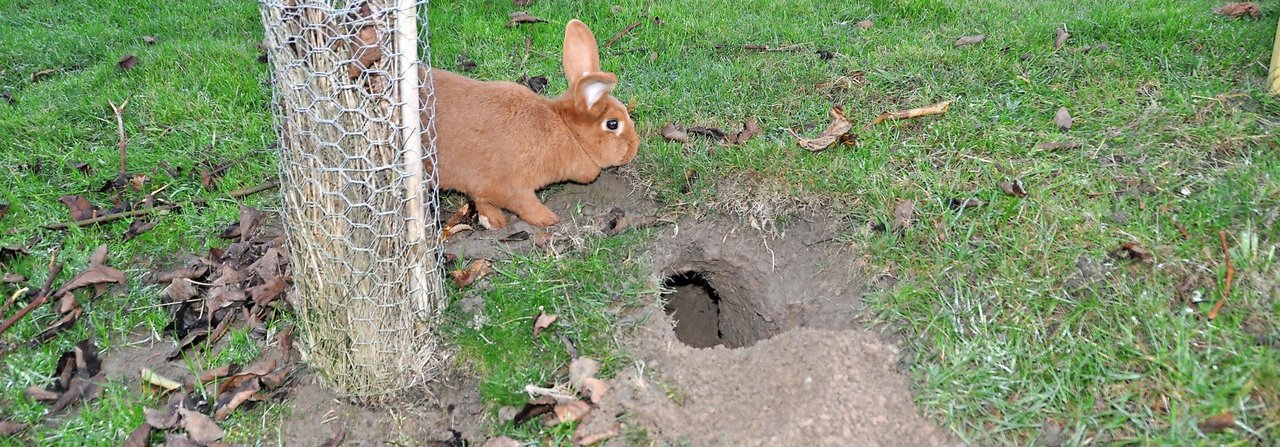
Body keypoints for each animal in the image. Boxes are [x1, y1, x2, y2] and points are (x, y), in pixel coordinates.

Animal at [423, 19, 640, 230]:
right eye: (613, 124)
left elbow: (480, 199)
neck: (567, 131)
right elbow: (521, 203)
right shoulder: (510, 186)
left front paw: (492, 221)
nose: (634, 148)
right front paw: (547, 219)